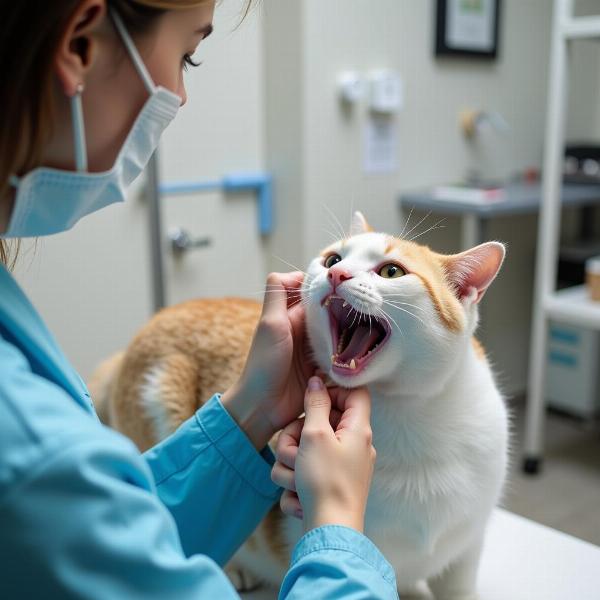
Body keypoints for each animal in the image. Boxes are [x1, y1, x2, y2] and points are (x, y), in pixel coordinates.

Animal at [91, 212, 508, 600]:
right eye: (333, 258)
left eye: (392, 271)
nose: (337, 273)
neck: (411, 415)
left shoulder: (468, 546)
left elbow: (460, 584)